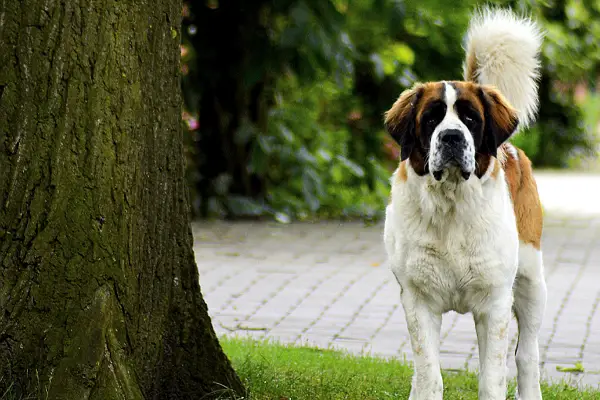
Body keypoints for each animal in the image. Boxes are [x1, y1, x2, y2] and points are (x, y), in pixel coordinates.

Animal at [384, 7, 548, 400]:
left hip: (531, 281)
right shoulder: (418, 300)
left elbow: (492, 377)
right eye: (430, 119)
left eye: (471, 119)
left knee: (527, 355)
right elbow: (428, 373)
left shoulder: (495, 303)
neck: (451, 205)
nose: (452, 137)